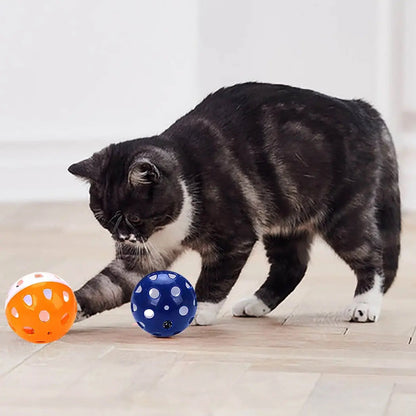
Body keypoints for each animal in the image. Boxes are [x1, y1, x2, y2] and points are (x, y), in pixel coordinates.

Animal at [68, 81, 400, 324]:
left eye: (135, 218)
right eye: (102, 218)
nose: (122, 237)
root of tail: (360, 106)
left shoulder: (234, 238)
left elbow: (215, 278)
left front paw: (198, 310)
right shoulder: (143, 256)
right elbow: (109, 284)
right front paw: (72, 306)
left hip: (343, 213)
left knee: (371, 255)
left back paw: (365, 305)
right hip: (284, 220)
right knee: (291, 266)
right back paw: (256, 304)